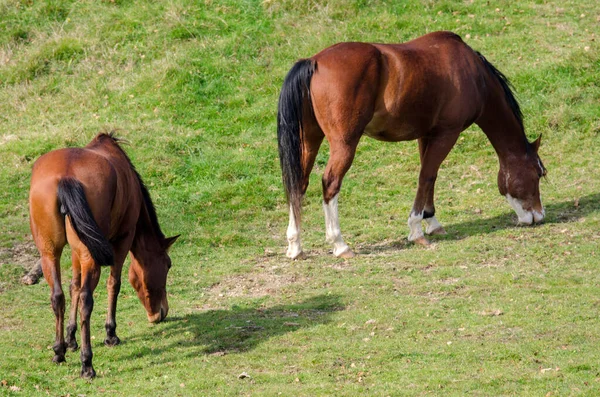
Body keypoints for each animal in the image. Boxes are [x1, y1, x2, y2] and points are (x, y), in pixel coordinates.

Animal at [29, 133, 178, 378]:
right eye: (167, 264)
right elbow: (113, 284)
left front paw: (71, 338)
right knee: (86, 299)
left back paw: (59, 352)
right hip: (92, 257)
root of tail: (66, 177)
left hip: (50, 253)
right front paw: (110, 334)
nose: (160, 313)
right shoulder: (123, 240)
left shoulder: (76, 251)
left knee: (58, 296)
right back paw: (87, 363)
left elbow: (74, 285)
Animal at [278, 31, 548, 260]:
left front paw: (432, 221)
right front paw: (417, 230)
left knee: (298, 183)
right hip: (344, 145)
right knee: (330, 183)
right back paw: (339, 244)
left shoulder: (426, 135)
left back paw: (295, 246)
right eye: (538, 174)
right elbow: (426, 177)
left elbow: (429, 177)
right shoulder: (446, 134)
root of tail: (314, 61)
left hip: (309, 140)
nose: (539, 215)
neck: (473, 74)